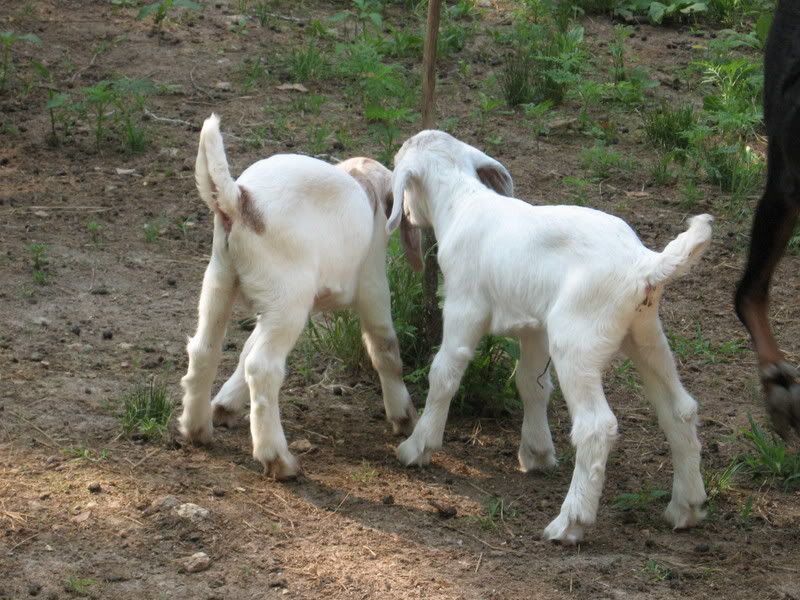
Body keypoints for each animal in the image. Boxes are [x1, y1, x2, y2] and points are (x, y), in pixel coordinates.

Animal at [178, 114, 422, 478]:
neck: (365, 186)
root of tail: (239, 200)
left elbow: (244, 348)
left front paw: (224, 405)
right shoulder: (372, 282)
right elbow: (385, 347)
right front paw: (403, 416)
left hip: (221, 280)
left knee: (205, 348)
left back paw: (196, 429)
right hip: (288, 297)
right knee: (262, 367)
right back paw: (278, 459)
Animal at [387, 130, 712, 543]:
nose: (407, 215)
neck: (462, 202)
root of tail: (644, 264)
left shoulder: (465, 307)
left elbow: (444, 373)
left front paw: (417, 446)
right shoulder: (533, 326)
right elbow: (532, 384)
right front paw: (537, 452)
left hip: (576, 339)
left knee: (596, 427)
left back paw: (571, 522)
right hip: (645, 333)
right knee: (679, 409)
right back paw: (687, 506)